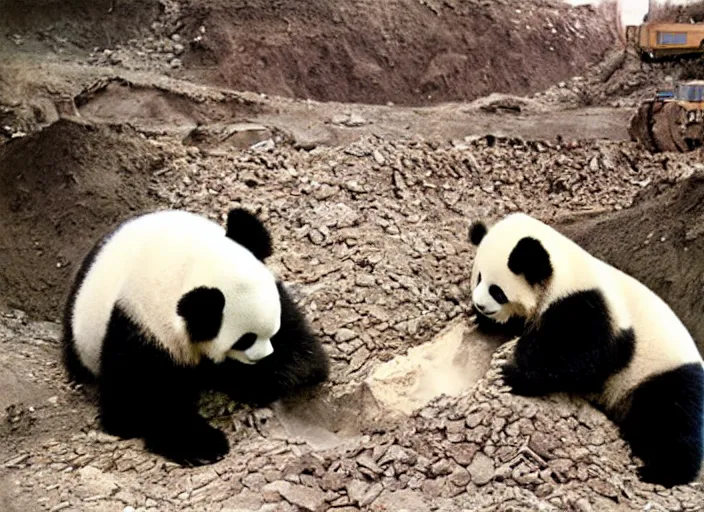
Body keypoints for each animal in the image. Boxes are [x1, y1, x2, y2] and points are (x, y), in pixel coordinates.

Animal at [62, 206, 328, 466]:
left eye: (274, 325)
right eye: (245, 339)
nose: (263, 356)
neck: (188, 264)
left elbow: (300, 353)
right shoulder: (140, 325)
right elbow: (140, 400)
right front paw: (203, 445)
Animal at [468, 212, 704, 488]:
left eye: (497, 291)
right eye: (478, 277)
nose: (480, 305)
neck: (563, 272)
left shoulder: (592, 307)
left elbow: (582, 354)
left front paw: (513, 374)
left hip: (665, 375)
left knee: (669, 420)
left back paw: (662, 473)